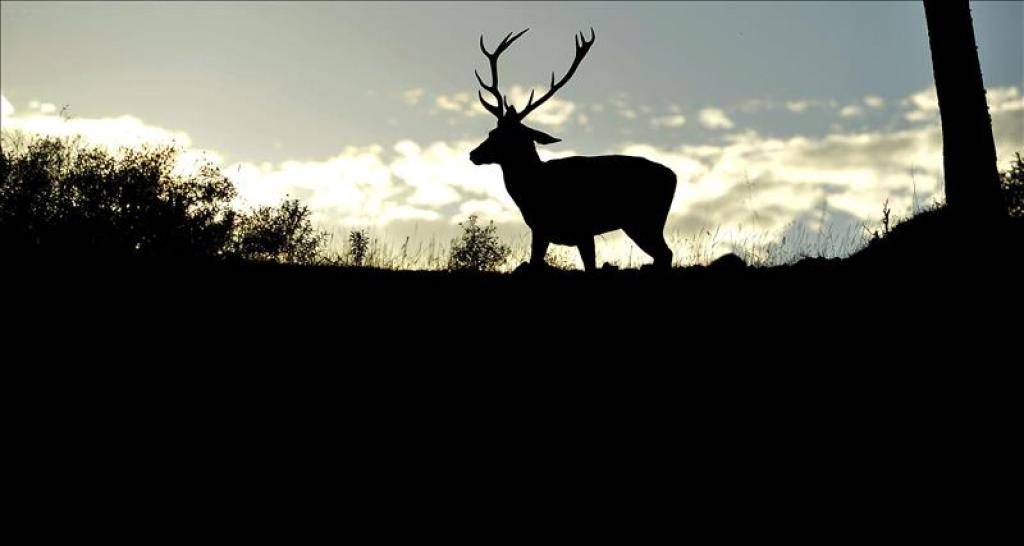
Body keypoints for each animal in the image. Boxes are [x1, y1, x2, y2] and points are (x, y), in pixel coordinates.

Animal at [469, 28, 677, 272]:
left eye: (503, 136)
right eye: (492, 131)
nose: (473, 154)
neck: (533, 188)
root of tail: (674, 176)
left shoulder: (580, 228)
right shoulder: (542, 229)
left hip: (644, 220)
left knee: (666, 253)